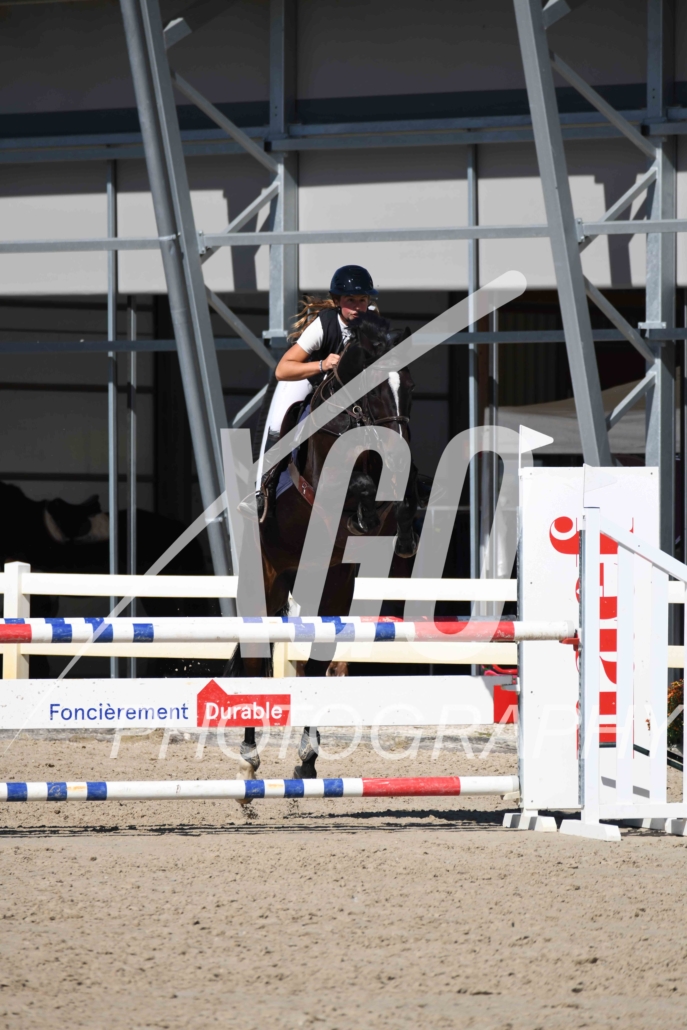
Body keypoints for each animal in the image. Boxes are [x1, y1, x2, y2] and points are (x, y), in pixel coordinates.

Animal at [230, 312, 420, 779]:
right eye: (376, 387)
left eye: (409, 386)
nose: (399, 444)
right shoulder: (326, 486)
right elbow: (362, 486)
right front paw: (364, 512)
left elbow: (403, 494)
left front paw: (403, 538)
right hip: (264, 583)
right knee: (254, 661)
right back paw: (250, 756)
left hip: (330, 587)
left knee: (317, 662)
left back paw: (307, 758)